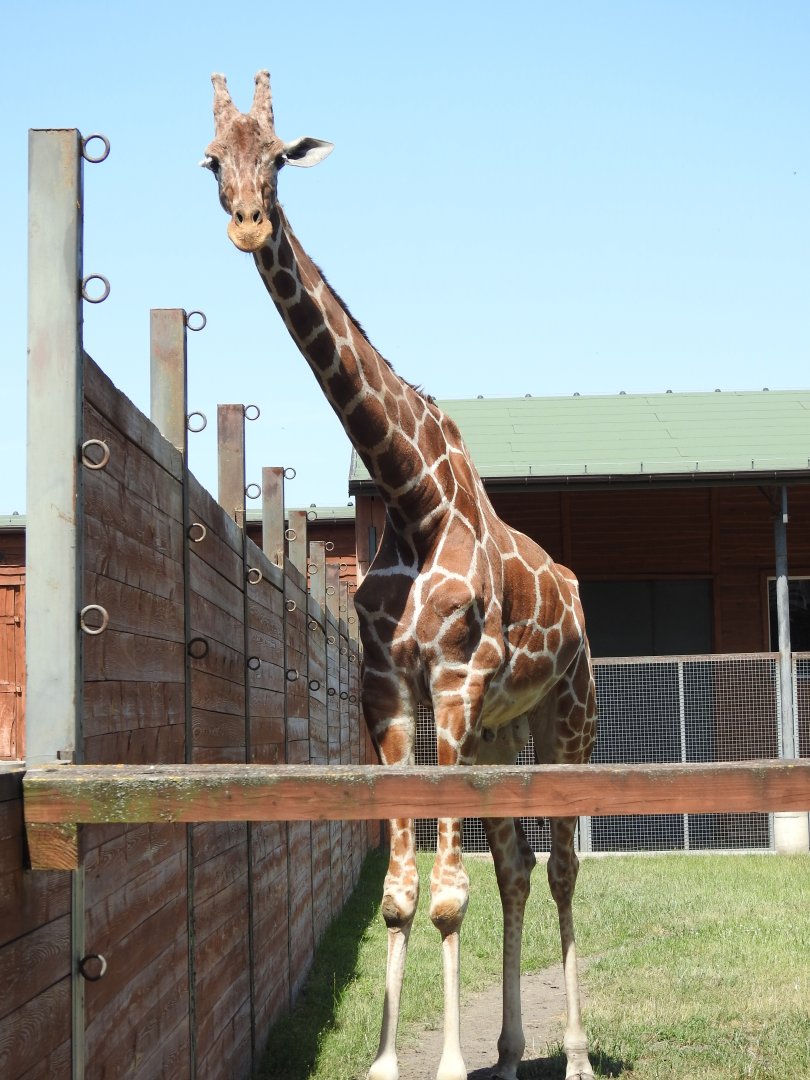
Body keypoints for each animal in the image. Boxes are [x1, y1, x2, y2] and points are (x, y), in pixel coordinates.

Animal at [203, 71, 597, 1080]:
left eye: (280, 158)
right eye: (213, 160)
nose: (250, 225)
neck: (411, 497)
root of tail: (575, 591)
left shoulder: (452, 684)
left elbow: (449, 894)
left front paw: (448, 1064)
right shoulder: (387, 691)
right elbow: (402, 891)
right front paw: (388, 1062)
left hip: (568, 713)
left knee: (564, 863)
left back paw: (576, 1054)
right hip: (503, 730)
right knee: (518, 867)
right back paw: (511, 1052)